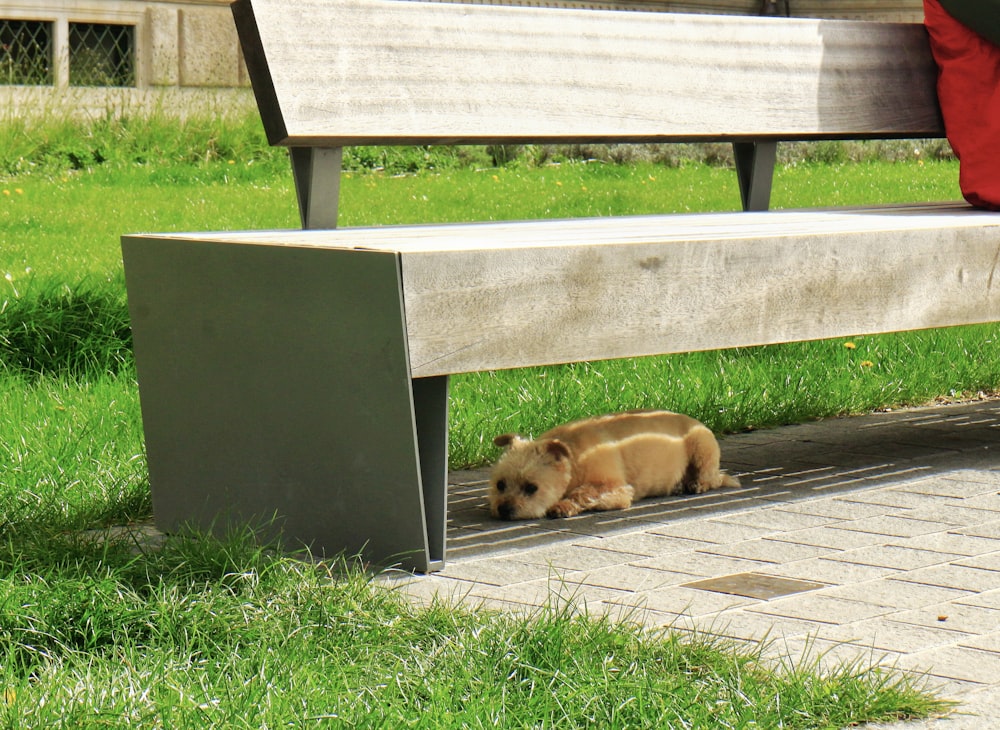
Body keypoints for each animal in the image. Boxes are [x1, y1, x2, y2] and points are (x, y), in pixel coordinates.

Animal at [488, 410, 740, 516]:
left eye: (531, 488)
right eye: (500, 485)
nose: (504, 509)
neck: (575, 456)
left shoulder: (617, 488)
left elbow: (585, 493)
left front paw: (563, 506)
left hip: (702, 448)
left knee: (712, 478)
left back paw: (696, 484)